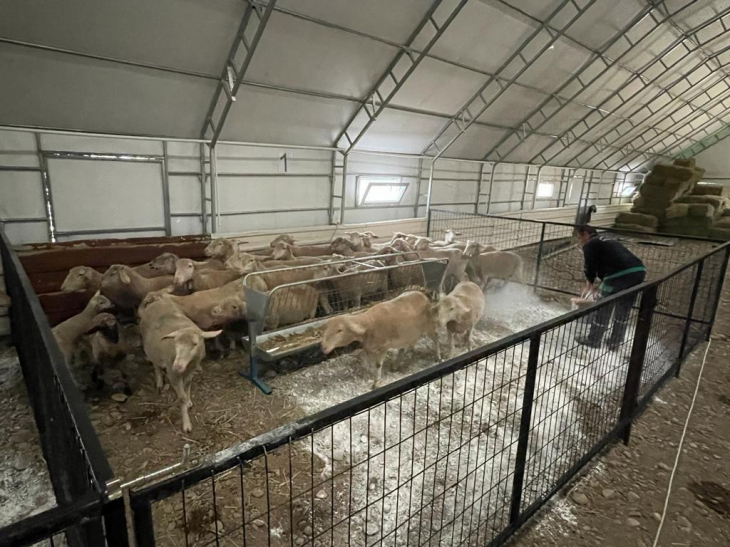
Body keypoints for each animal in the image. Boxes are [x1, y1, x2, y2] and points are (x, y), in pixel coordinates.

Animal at [138, 296, 220, 432]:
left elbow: (188, 384)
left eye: (195, 344)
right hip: (149, 348)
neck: (189, 364)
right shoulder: (173, 375)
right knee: (155, 364)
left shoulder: (191, 369)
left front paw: (188, 401)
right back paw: (159, 382)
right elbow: (181, 397)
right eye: (175, 343)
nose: (177, 366)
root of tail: (156, 302)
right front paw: (186, 424)